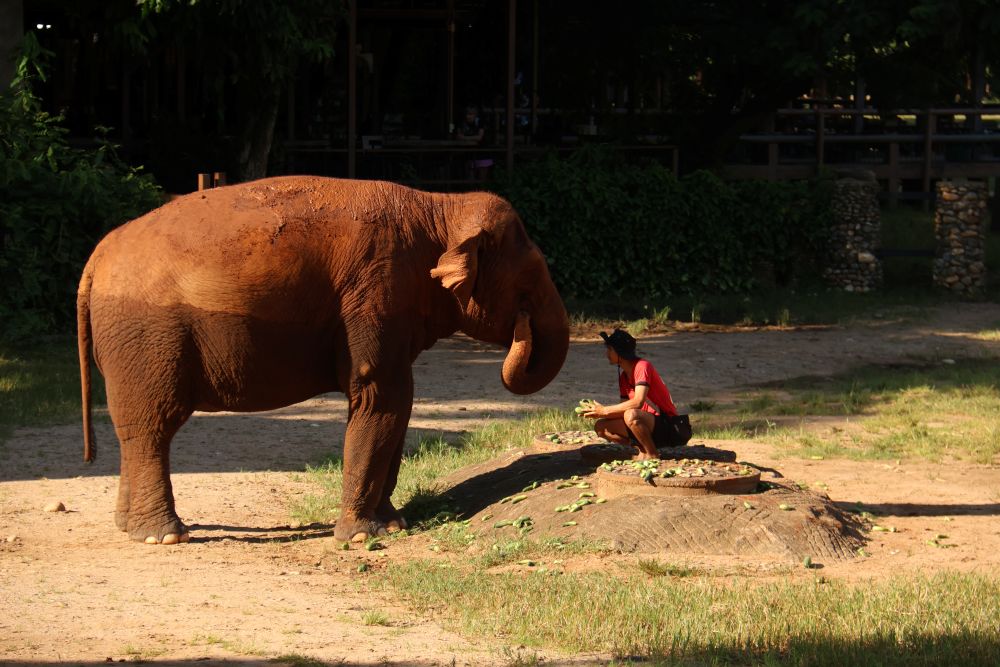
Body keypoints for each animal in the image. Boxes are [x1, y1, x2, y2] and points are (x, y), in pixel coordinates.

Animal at [77, 175, 569, 544]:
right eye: (529, 283)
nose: (523, 326)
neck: (440, 206)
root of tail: (94, 259)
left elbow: (398, 404)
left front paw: (393, 524)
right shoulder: (375, 293)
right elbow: (380, 395)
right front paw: (363, 536)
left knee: (134, 429)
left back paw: (129, 527)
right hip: (147, 337)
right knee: (154, 424)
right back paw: (165, 536)